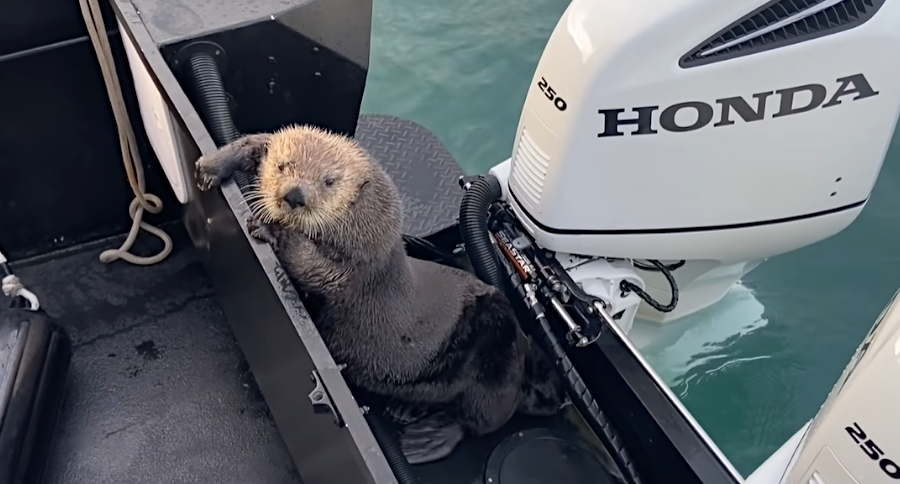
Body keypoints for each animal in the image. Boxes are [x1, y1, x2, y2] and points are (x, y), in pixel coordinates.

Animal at [194, 124, 566, 464]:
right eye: (284, 166)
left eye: (329, 181)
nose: (294, 195)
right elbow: (257, 140)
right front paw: (211, 166)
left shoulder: (355, 266)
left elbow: (314, 267)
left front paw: (269, 227)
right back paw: (406, 409)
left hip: (496, 357)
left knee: (476, 421)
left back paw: (423, 440)